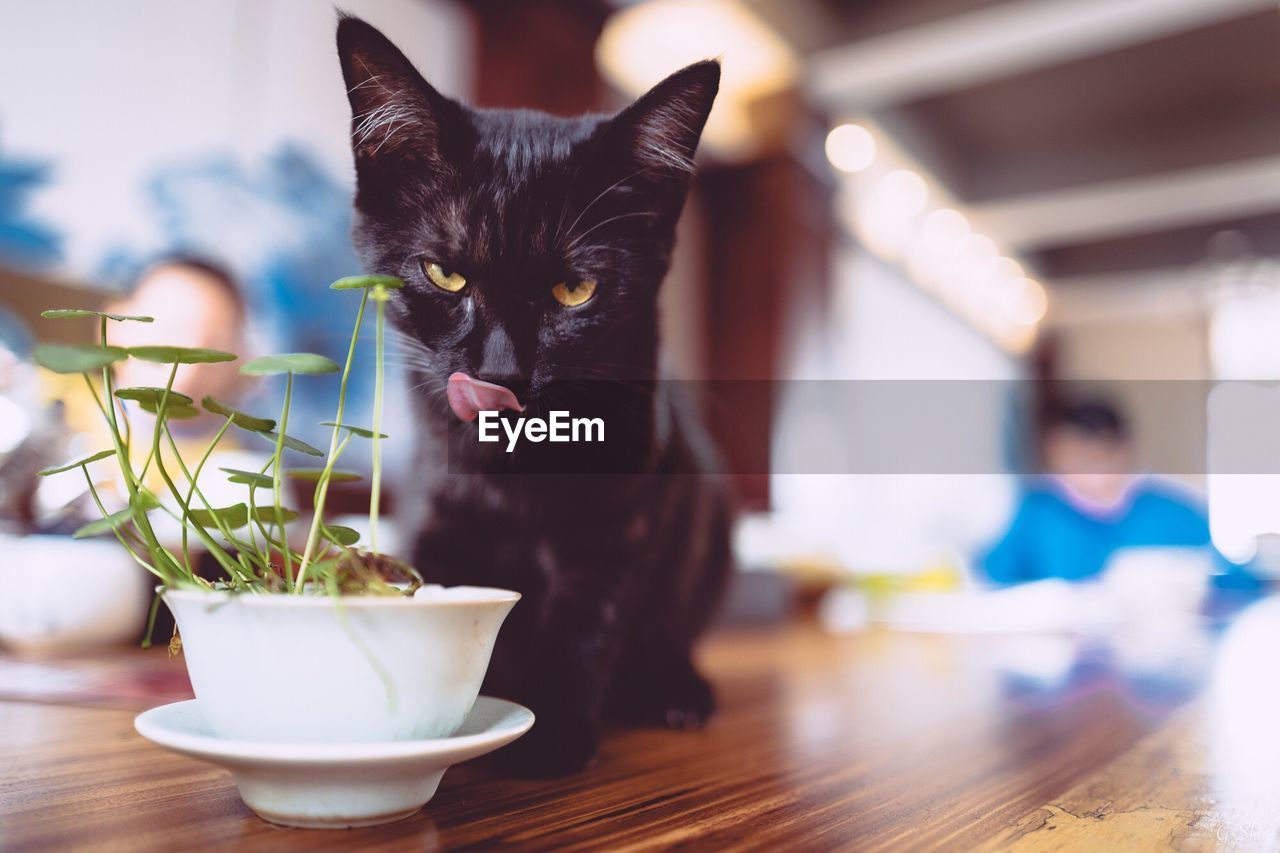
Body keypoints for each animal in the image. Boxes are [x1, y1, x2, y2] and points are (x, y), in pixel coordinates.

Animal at [335, 13, 737, 773]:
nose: (502, 373)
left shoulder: (618, 520)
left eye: (575, 290)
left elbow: (585, 618)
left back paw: (677, 688)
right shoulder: (440, 509)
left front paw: (550, 730)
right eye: (445, 274)